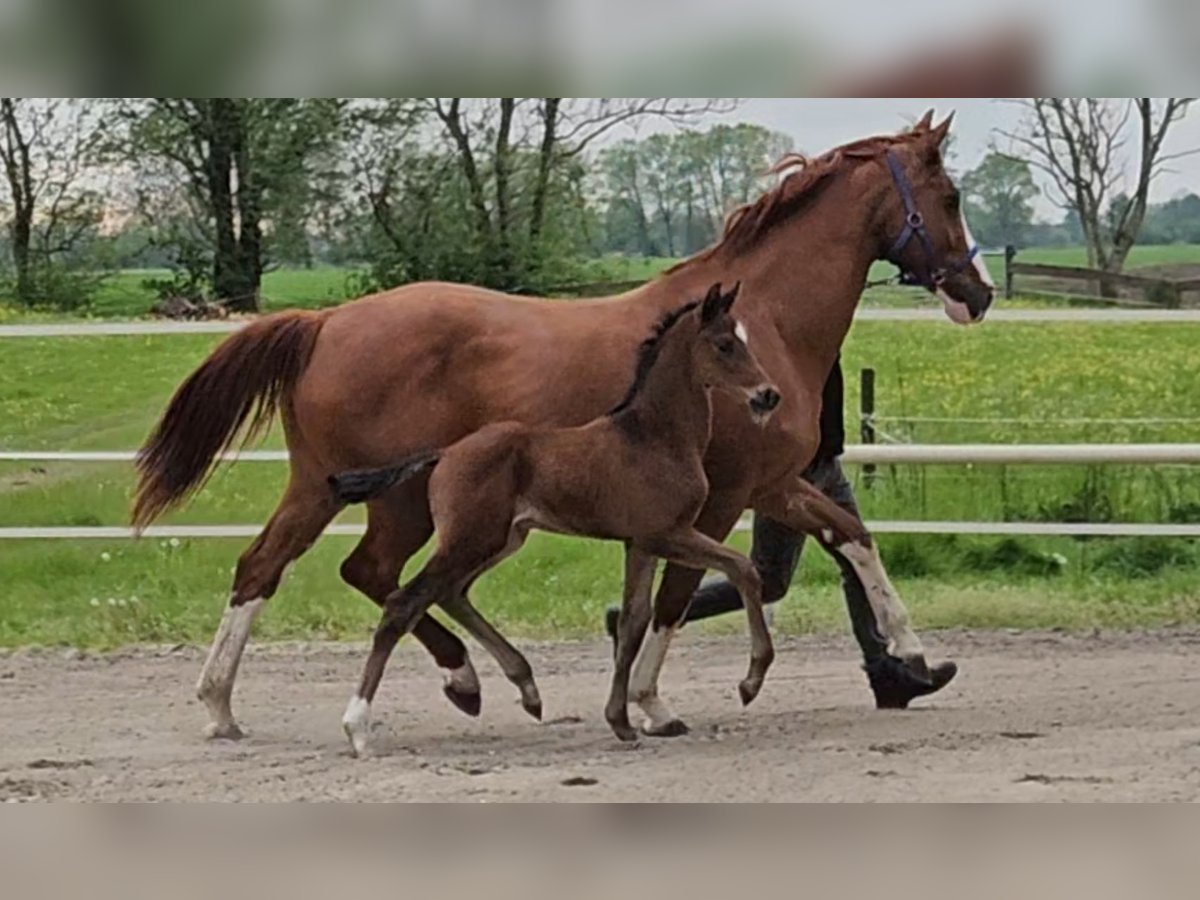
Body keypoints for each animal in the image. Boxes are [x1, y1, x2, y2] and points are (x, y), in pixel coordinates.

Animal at [133, 109, 993, 739]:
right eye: (950, 198)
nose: (977, 294)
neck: (763, 319)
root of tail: (324, 322)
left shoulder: (773, 485)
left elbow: (853, 539)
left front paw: (913, 656)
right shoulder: (720, 500)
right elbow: (679, 594)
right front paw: (650, 701)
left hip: (343, 490)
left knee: (296, 570)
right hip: (390, 499)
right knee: (358, 576)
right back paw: (448, 681)